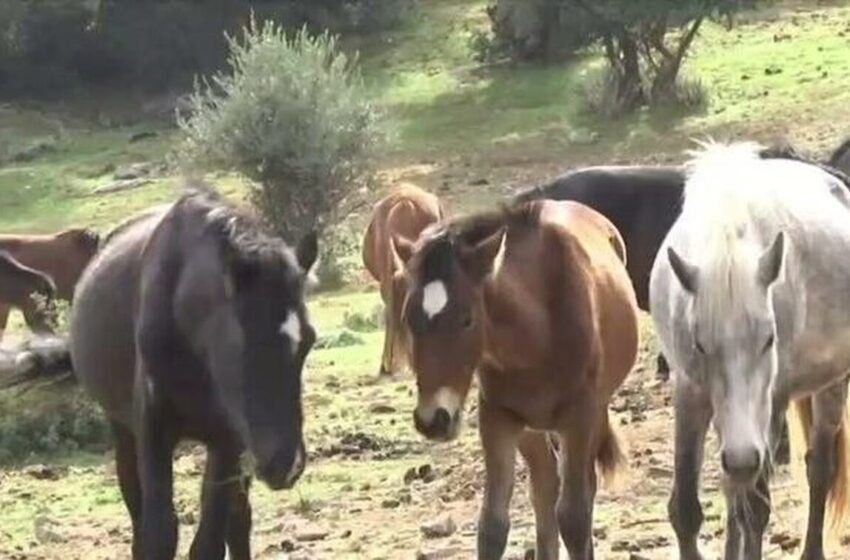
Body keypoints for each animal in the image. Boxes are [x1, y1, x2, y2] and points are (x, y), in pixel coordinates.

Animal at [68, 189, 318, 560]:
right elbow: (158, 534)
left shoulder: (227, 439)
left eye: (309, 341)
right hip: (124, 433)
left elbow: (210, 541)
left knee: (238, 519)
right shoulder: (153, 429)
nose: (287, 463)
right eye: (242, 342)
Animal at [390, 201, 636, 560]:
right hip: (532, 428)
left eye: (467, 319)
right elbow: (492, 525)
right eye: (408, 318)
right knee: (545, 485)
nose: (433, 420)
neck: (536, 334)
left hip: (589, 415)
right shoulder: (497, 418)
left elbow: (575, 518)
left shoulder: (579, 417)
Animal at [648, 143, 848, 560]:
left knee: (819, 469)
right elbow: (686, 510)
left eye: (769, 340)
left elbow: (755, 509)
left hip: (831, 385)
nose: (742, 460)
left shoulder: (771, 402)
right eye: (700, 345)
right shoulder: (690, 392)